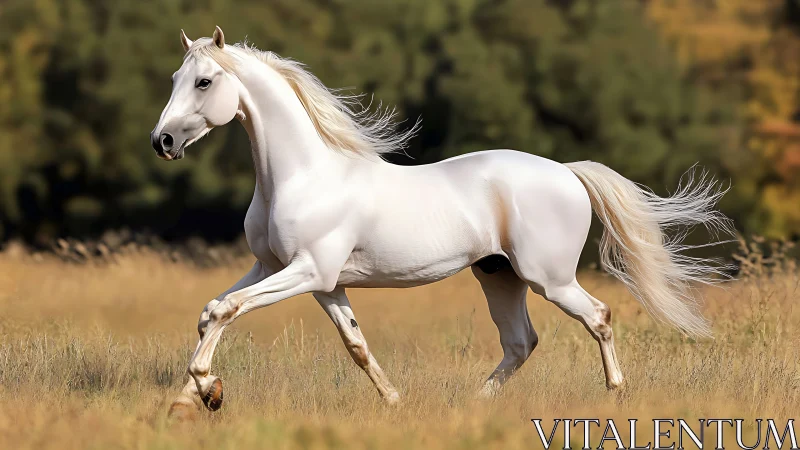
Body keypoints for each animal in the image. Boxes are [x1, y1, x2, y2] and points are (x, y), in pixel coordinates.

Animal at [151, 26, 732, 417]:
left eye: (204, 81)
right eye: (175, 77)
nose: (163, 141)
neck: (301, 176)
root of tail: (567, 171)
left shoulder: (308, 271)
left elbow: (225, 310)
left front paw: (202, 389)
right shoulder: (293, 274)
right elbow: (343, 342)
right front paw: (195, 398)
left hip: (549, 278)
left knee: (599, 317)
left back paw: (614, 397)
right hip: (499, 275)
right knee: (521, 342)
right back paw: (475, 404)